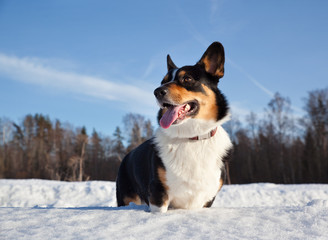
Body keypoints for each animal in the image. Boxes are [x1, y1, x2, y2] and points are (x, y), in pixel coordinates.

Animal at [116, 42, 232, 213]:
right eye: (162, 81)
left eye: (187, 78)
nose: (157, 92)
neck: (191, 137)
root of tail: (127, 156)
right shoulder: (158, 194)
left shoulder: (207, 200)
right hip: (126, 198)